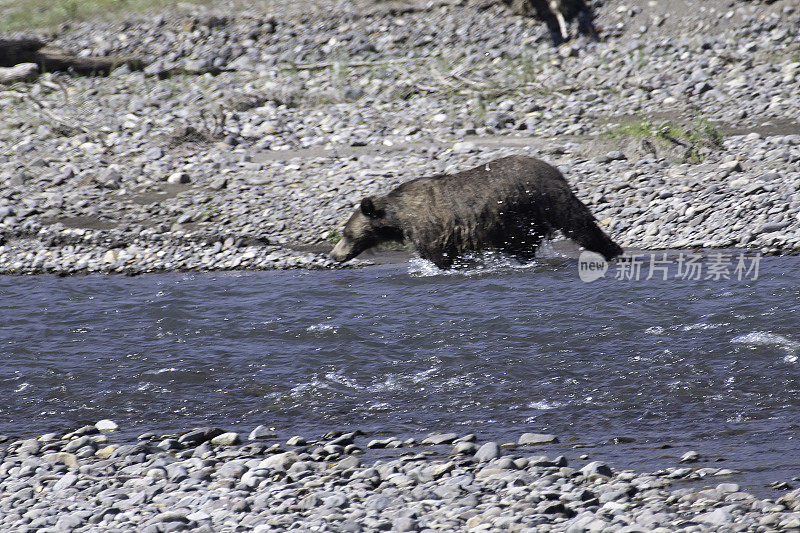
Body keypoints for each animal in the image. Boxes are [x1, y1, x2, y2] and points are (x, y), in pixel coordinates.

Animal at [328, 155, 620, 270]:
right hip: (522, 218)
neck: (399, 218)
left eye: (346, 233)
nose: (333, 254)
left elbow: (438, 256)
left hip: (541, 199)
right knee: (524, 243)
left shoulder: (431, 228)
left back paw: (611, 249)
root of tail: (555, 170)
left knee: (577, 222)